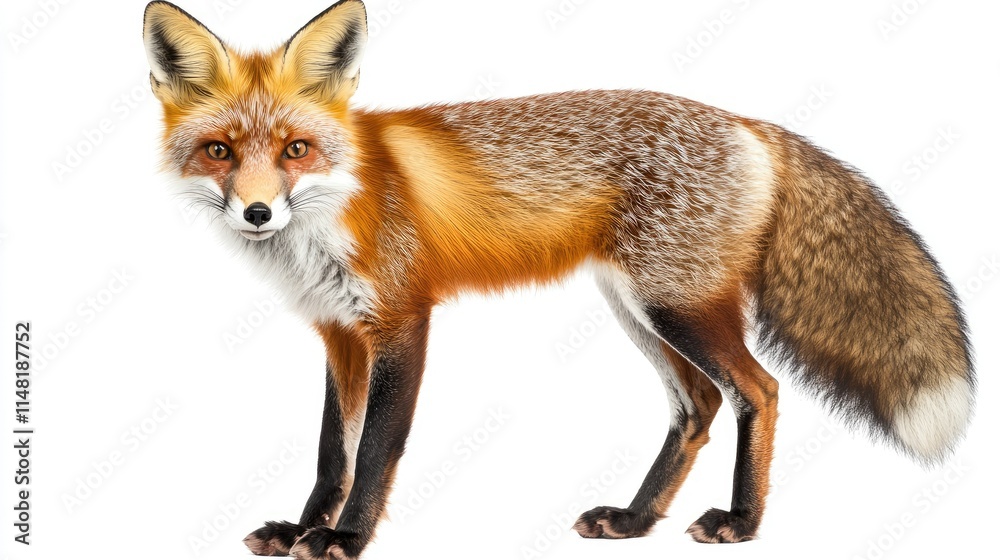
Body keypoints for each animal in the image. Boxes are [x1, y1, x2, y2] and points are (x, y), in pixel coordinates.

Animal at [142, 1, 975, 558]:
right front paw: (304, 526)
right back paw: (636, 521)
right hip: (637, 308)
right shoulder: (341, 334)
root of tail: (748, 124)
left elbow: (375, 449)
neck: (333, 210)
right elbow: (329, 451)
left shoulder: (402, 321)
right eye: (219, 151)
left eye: (296, 149)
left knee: (759, 391)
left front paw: (344, 539)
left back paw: (741, 522)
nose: (256, 212)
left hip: (677, 307)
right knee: (699, 405)